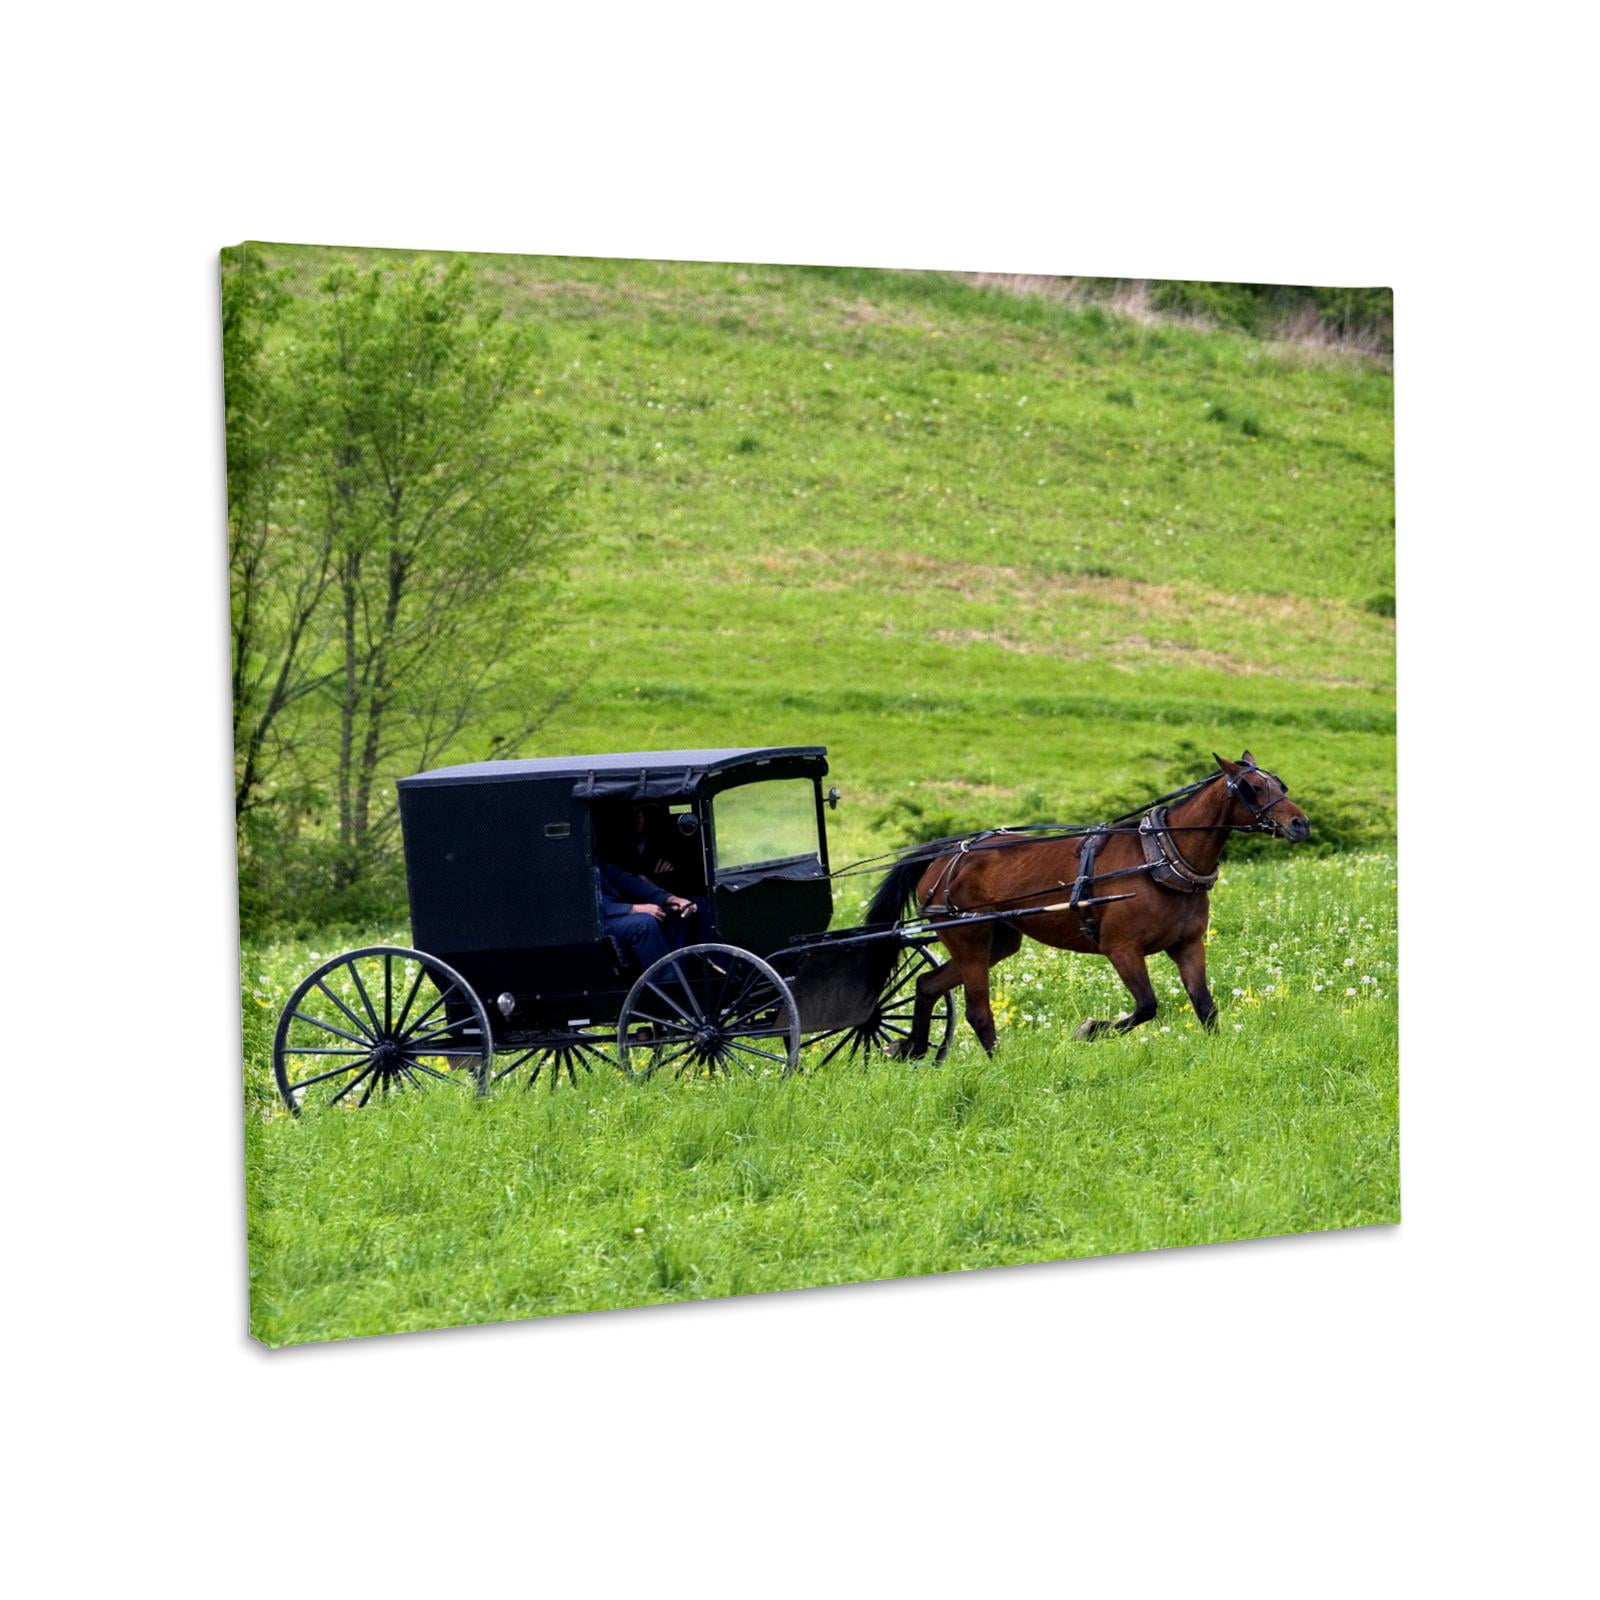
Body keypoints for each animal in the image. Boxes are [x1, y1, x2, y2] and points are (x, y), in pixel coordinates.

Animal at [861, 752, 1311, 1054]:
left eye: (1281, 784)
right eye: (1253, 788)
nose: (1300, 824)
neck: (1160, 859)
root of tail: (946, 854)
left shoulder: (1188, 946)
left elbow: (1205, 1007)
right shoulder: (1121, 948)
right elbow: (1147, 1006)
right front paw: (1090, 1029)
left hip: (998, 940)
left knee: (926, 984)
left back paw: (911, 1047)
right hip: (969, 935)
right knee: (977, 1011)